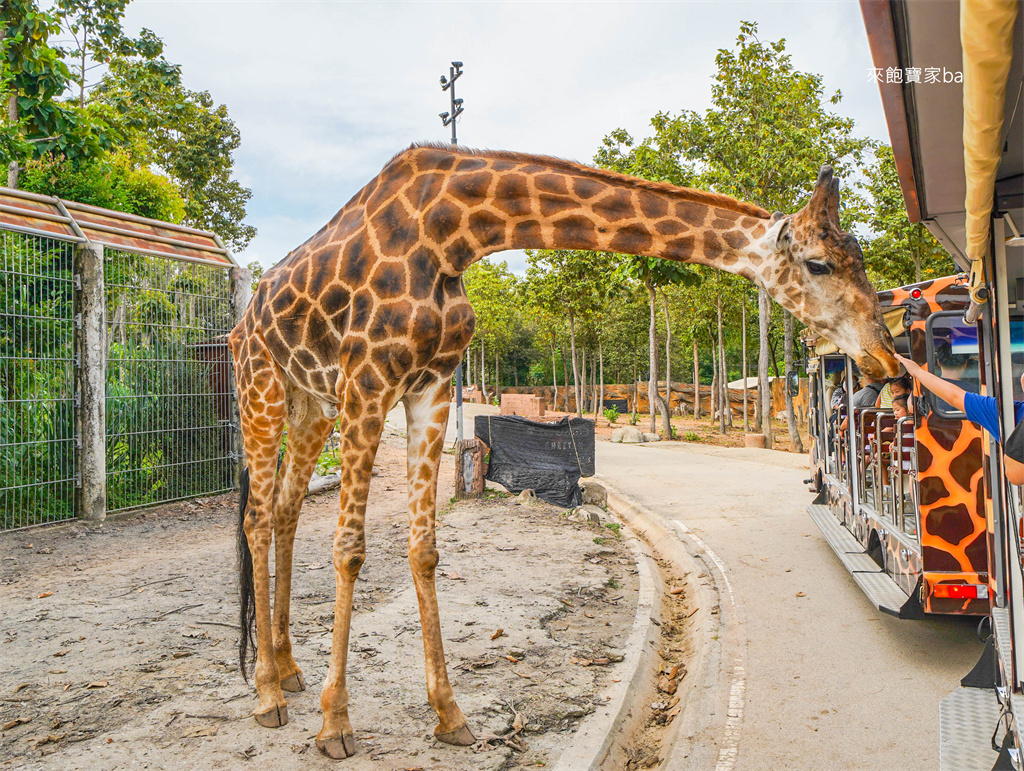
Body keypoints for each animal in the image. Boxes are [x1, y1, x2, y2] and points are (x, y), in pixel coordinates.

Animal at [226, 144, 897, 757]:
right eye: (819, 265)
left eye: (860, 259)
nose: (884, 356)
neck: (453, 234)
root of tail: (240, 324)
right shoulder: (367, 382)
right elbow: (349, 550)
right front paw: (335, 725)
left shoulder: (431, 387)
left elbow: (423, 549)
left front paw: (449, 714)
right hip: (262, 388)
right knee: (257, 516)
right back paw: (266, 694)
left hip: (310, 403)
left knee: (285, 509)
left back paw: (287, 668)